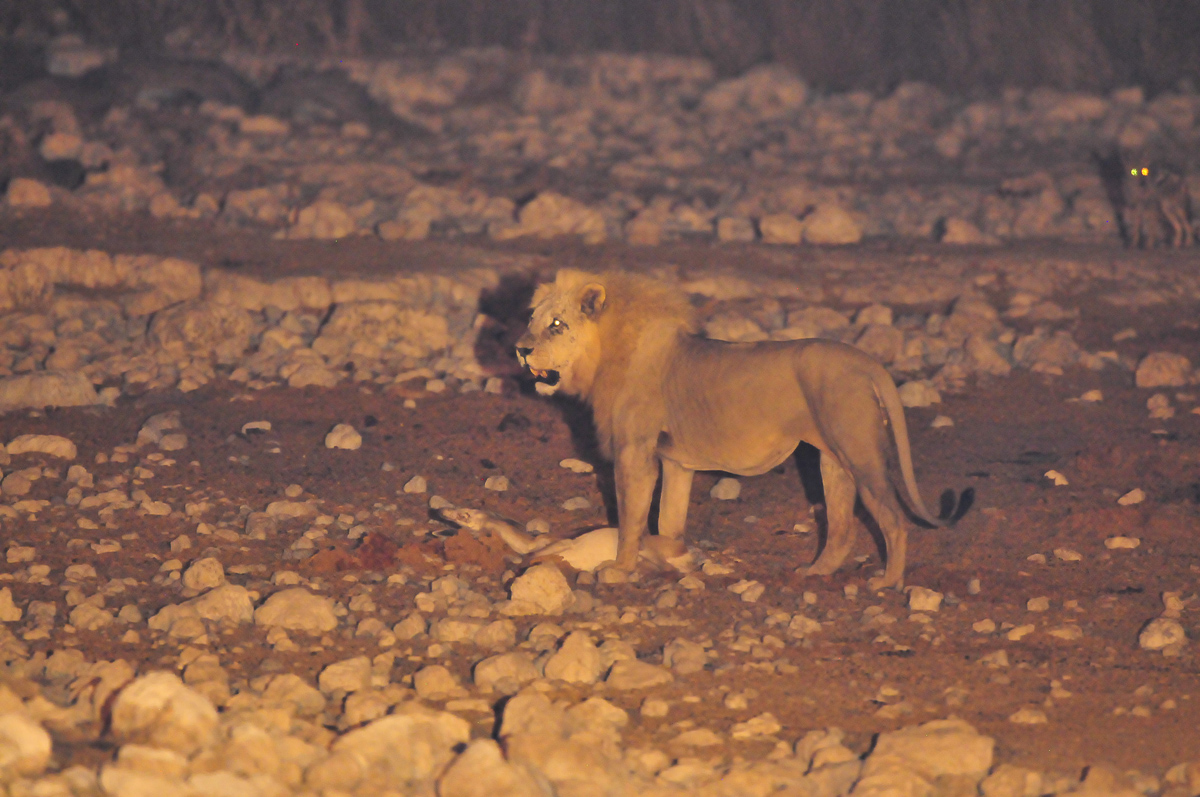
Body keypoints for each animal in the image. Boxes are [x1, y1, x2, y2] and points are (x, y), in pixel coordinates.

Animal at [515, 269, 971, 590]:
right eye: (532, 319)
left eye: (557, 324)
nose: (520, 349)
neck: (609, 353)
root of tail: (867, 362)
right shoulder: (675, 461)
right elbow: (668, 520)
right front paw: (670, 556)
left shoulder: (636, 452)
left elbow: (630, 519)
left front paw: (620, 567)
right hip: (832, 458)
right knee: (841, 527)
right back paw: (815, 572)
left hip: (860, 452)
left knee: (892, 519)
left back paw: (888, 581)